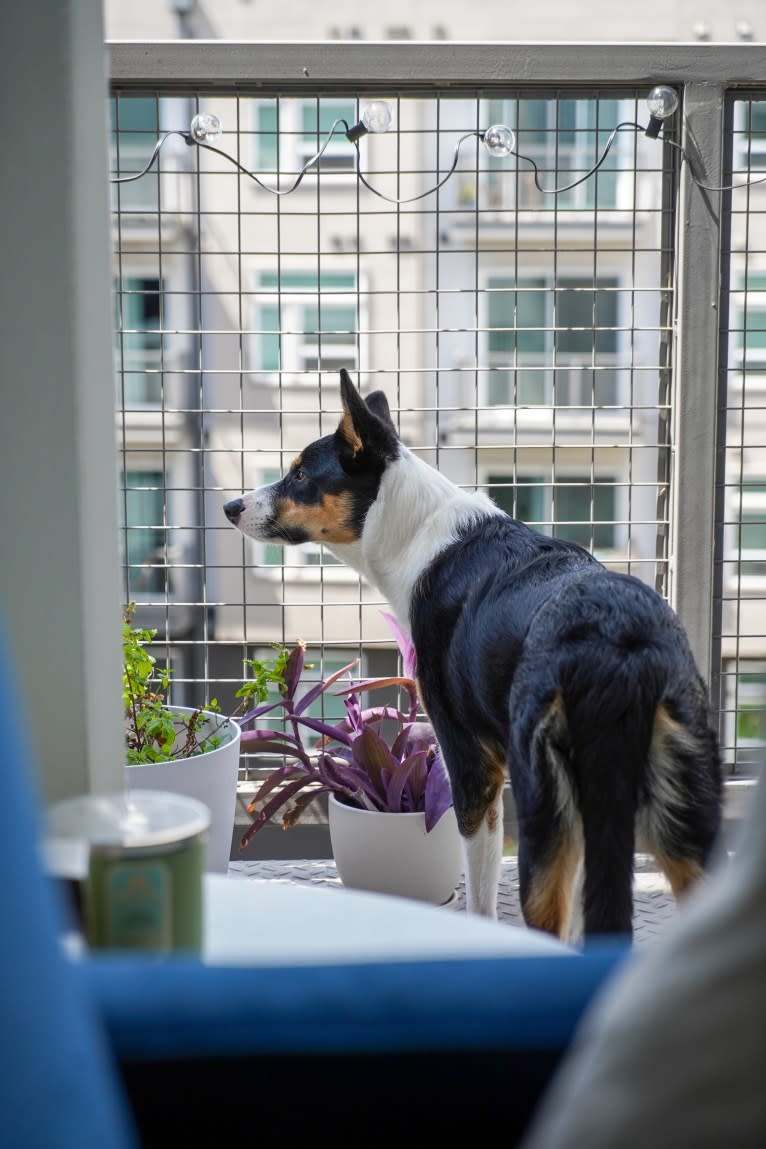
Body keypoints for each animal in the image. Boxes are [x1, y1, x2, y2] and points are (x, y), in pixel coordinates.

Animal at [222, 369, 725, 942]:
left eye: (302, 473)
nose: (230, 508)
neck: (416, 530)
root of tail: (619, 644)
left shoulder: (470, 764)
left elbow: (481, 897)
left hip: (545, 814)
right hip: (682, 820)